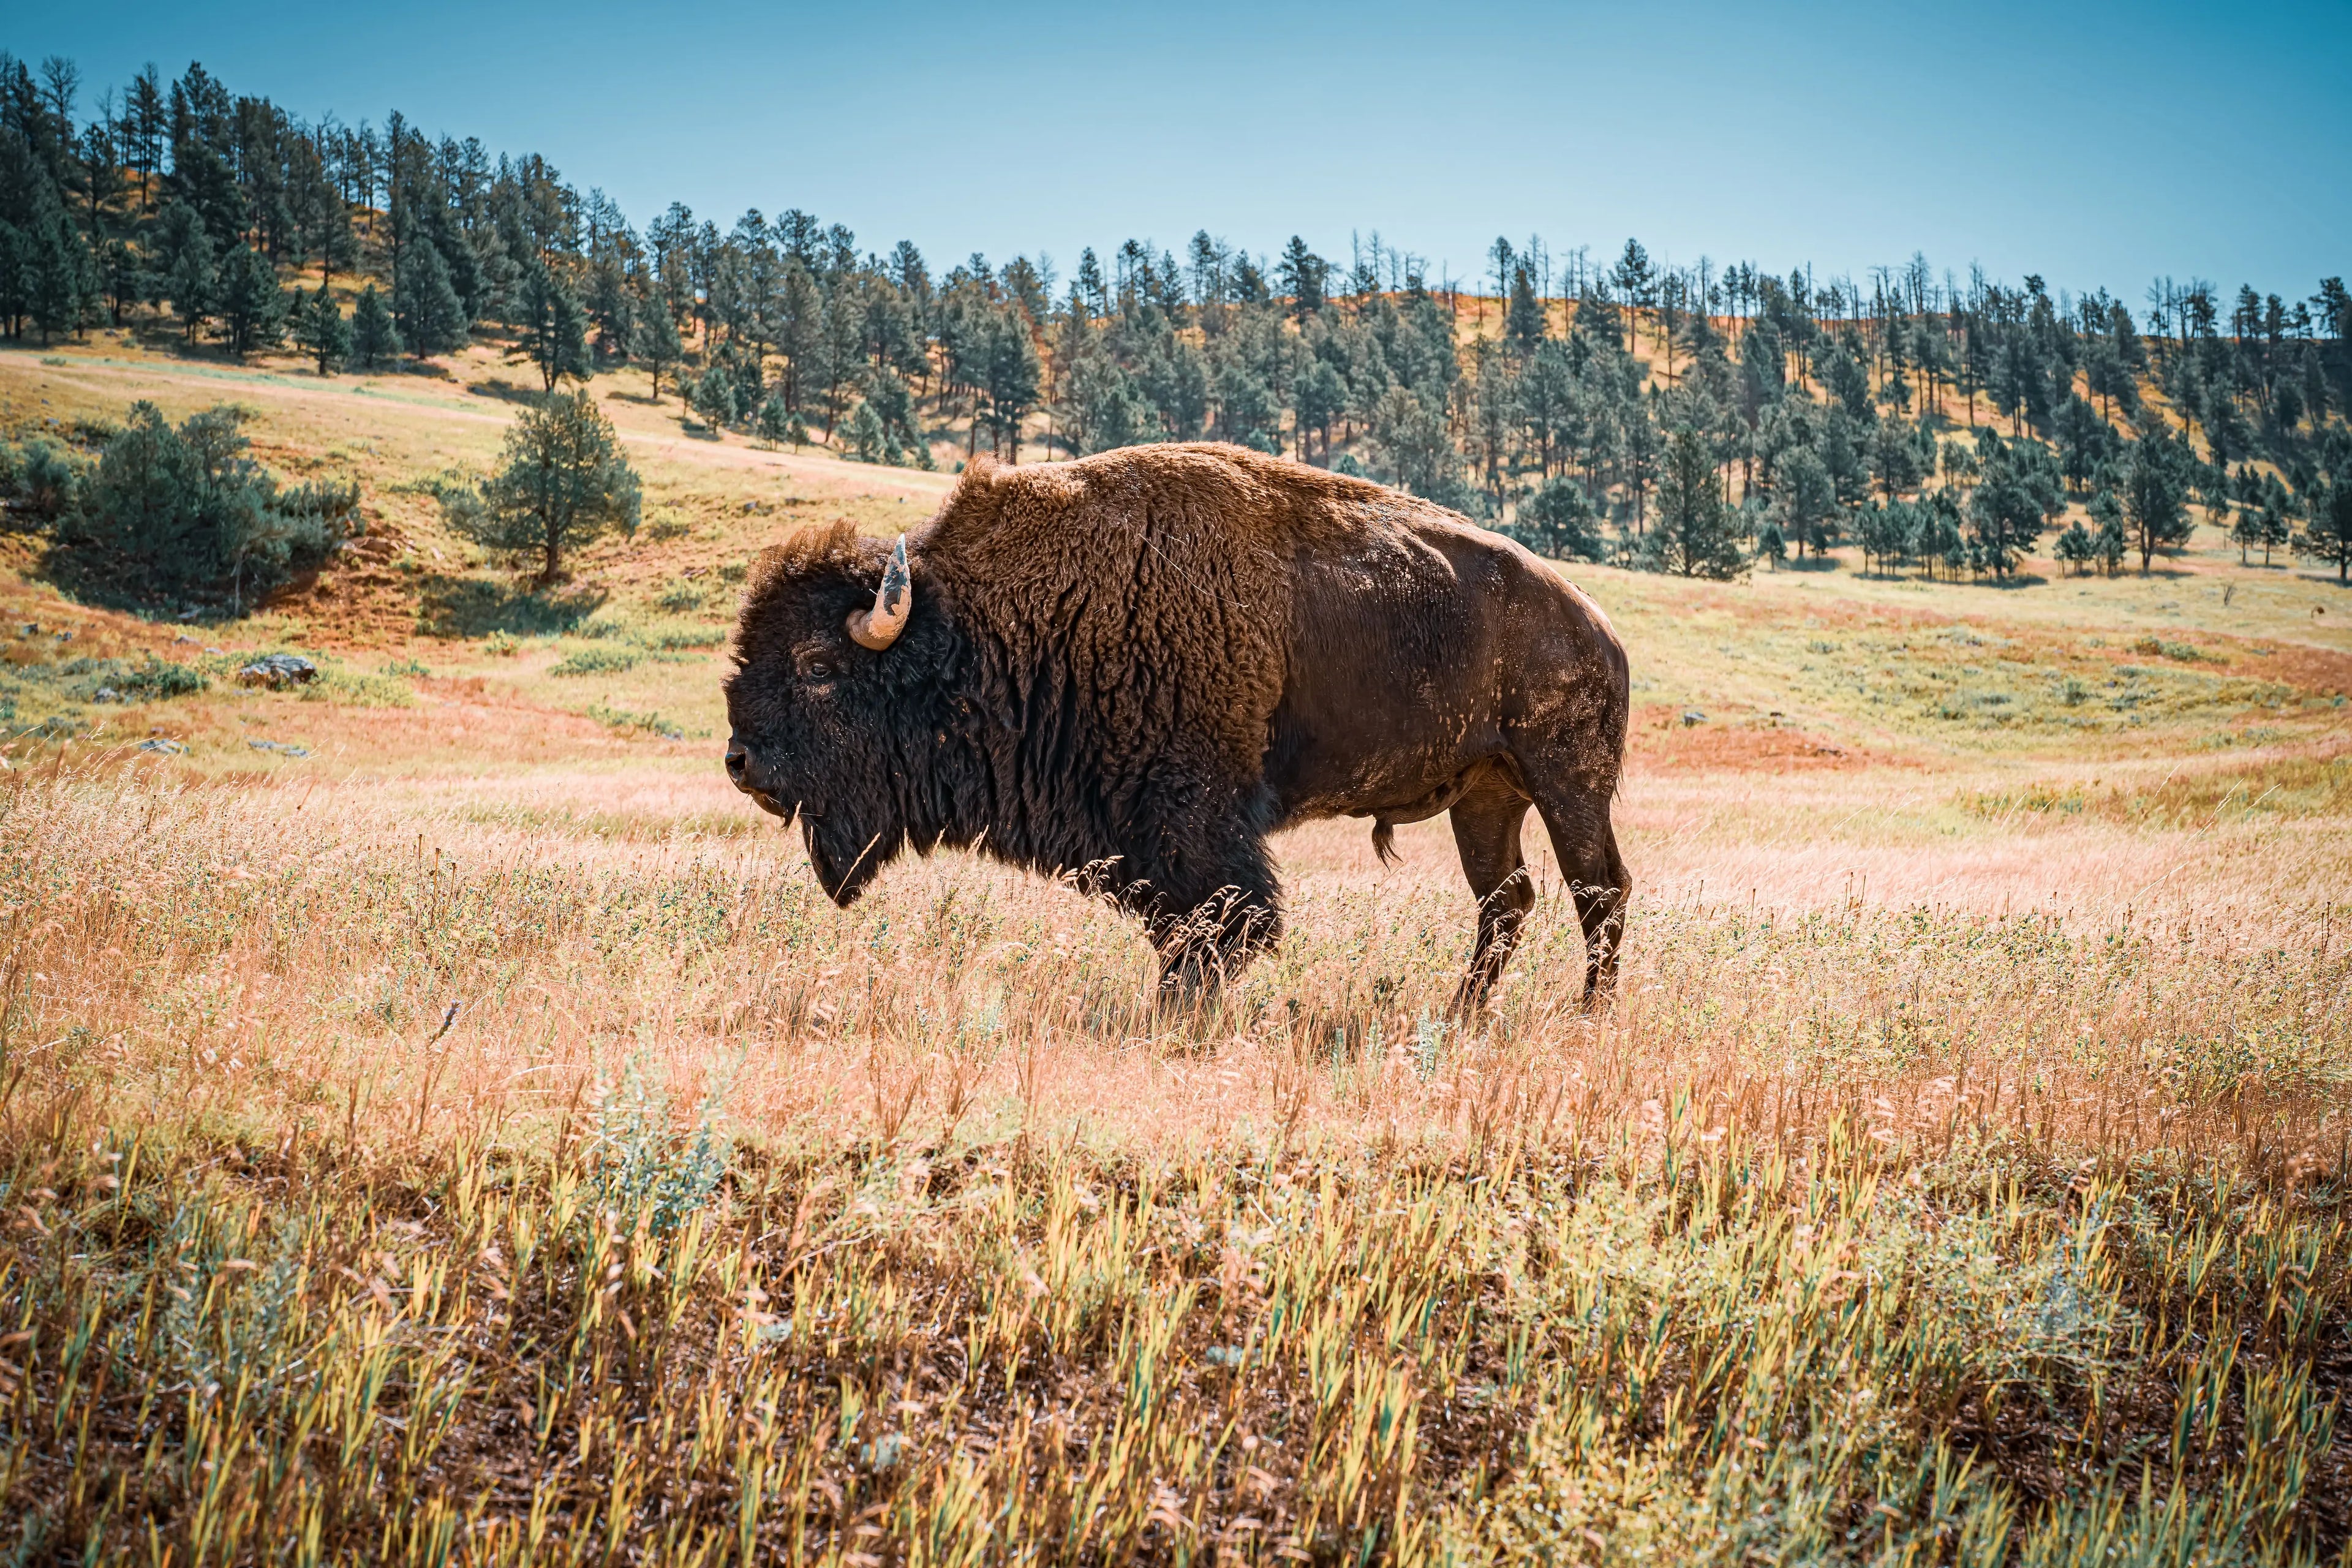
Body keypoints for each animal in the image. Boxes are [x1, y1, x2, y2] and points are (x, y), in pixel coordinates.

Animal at [724, 442, 1630, 1012]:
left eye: (816, 665)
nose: (740, 763)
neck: (979, 628)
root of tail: (1596, 626)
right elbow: (1182, 929)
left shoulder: (1194, 820)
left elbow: (1223, 925)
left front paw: (1176, 1014)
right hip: (1485, 799)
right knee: (1507, 900)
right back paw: (1463, 1013)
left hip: (1567, 781)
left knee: (1600, 891)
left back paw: (1588, 1014)